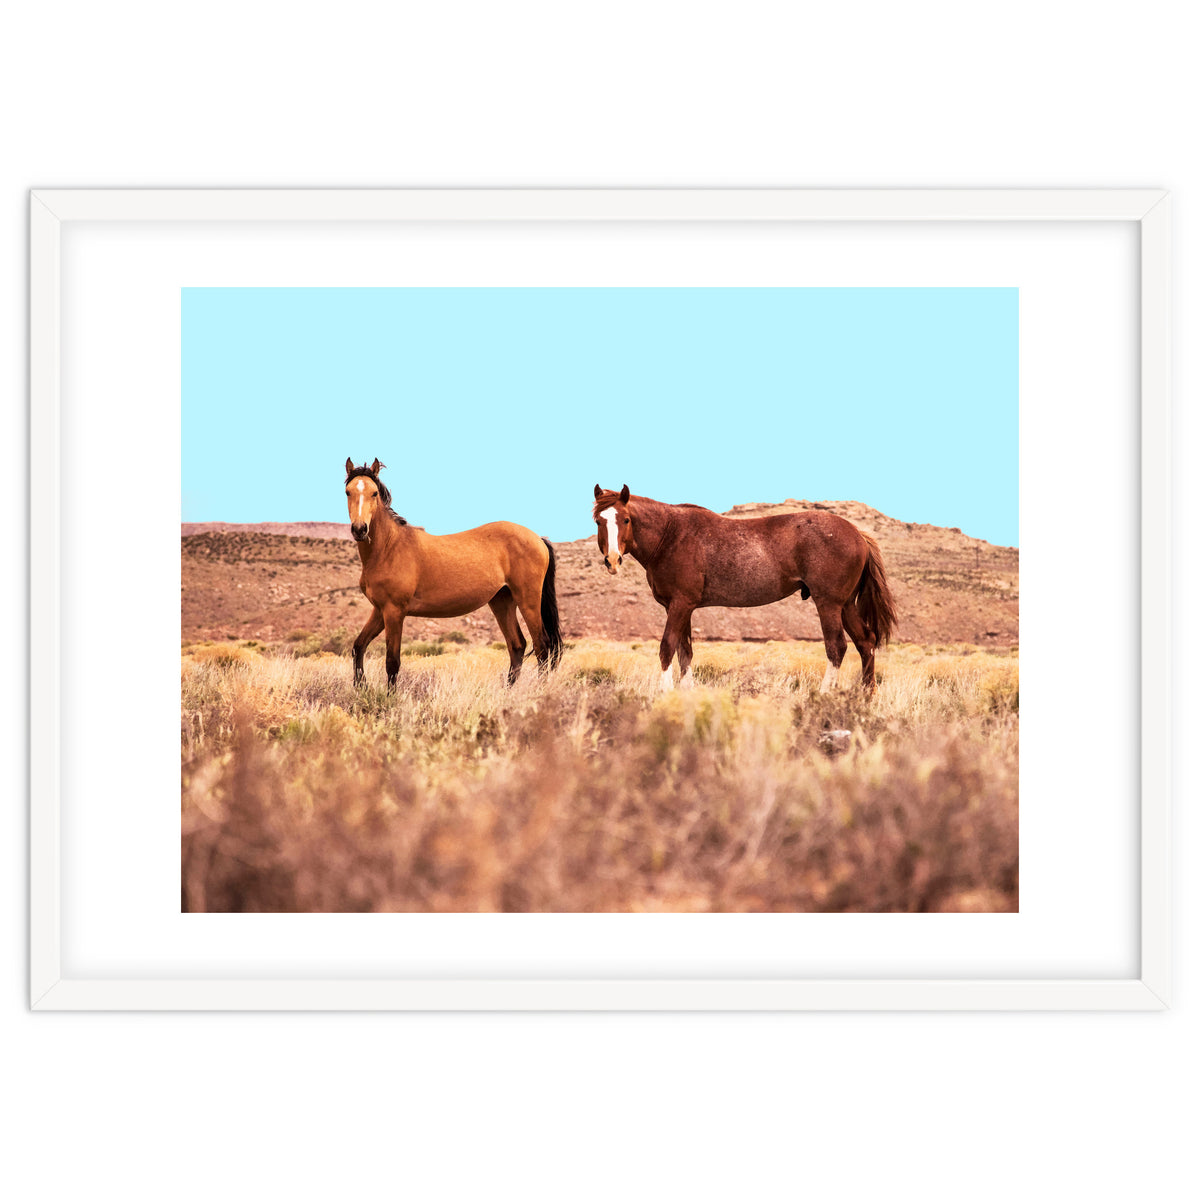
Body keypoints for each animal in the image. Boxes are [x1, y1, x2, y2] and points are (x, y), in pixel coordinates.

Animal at [344, 458, 563, 688]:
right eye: (348, 492)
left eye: (374, 493)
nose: (360, 529)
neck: (389, 548)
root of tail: (538, 538)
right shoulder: (380, 610)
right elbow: (358, 646)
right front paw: (361, 686)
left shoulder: (394, 611)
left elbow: (392, 662)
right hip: (502, 601)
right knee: (517, 645)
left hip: (528, 601)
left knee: (542, 647)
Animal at [592, 484, 897, 694]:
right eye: (598, 521)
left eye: (626, 519)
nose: (612, 560)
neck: (670, 535)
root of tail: (858, 534)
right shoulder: (682, 608)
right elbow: (685, 652)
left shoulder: (680, 605)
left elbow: (667, 647)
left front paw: (665, 693)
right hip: (845, 605)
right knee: (866, 643)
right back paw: (865, 697)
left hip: (829, 604)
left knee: (837, 647)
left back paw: (824, 695)